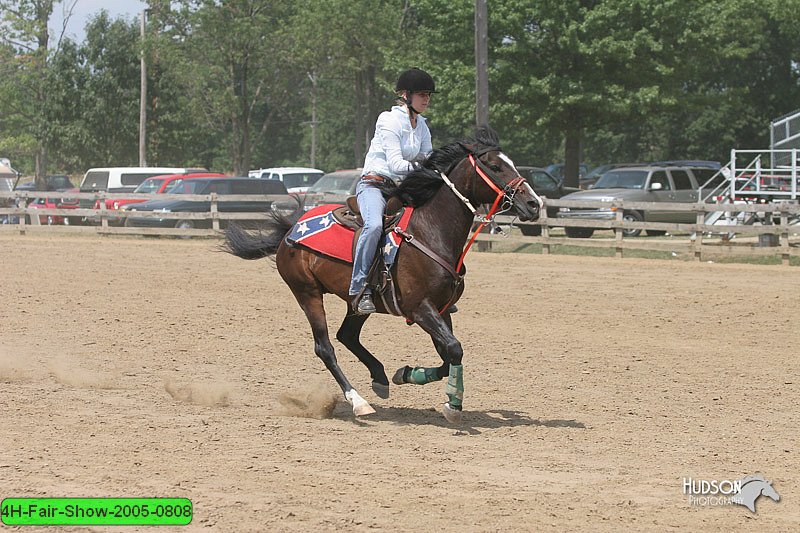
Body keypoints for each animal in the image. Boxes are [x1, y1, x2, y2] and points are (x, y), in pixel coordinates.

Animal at [222, 127, 540, 422]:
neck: (429, 231)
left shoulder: (441, 308)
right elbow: (453, 348)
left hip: (358, 301)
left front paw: (409, 374)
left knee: (347, 336)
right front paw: (453, 404)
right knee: (325, 347)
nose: (534, 204)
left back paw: (380, 377)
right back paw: (358, 402)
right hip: (307, 293)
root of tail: (292, 227)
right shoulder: (420, 308)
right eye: (495, 166)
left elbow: (448, 355)